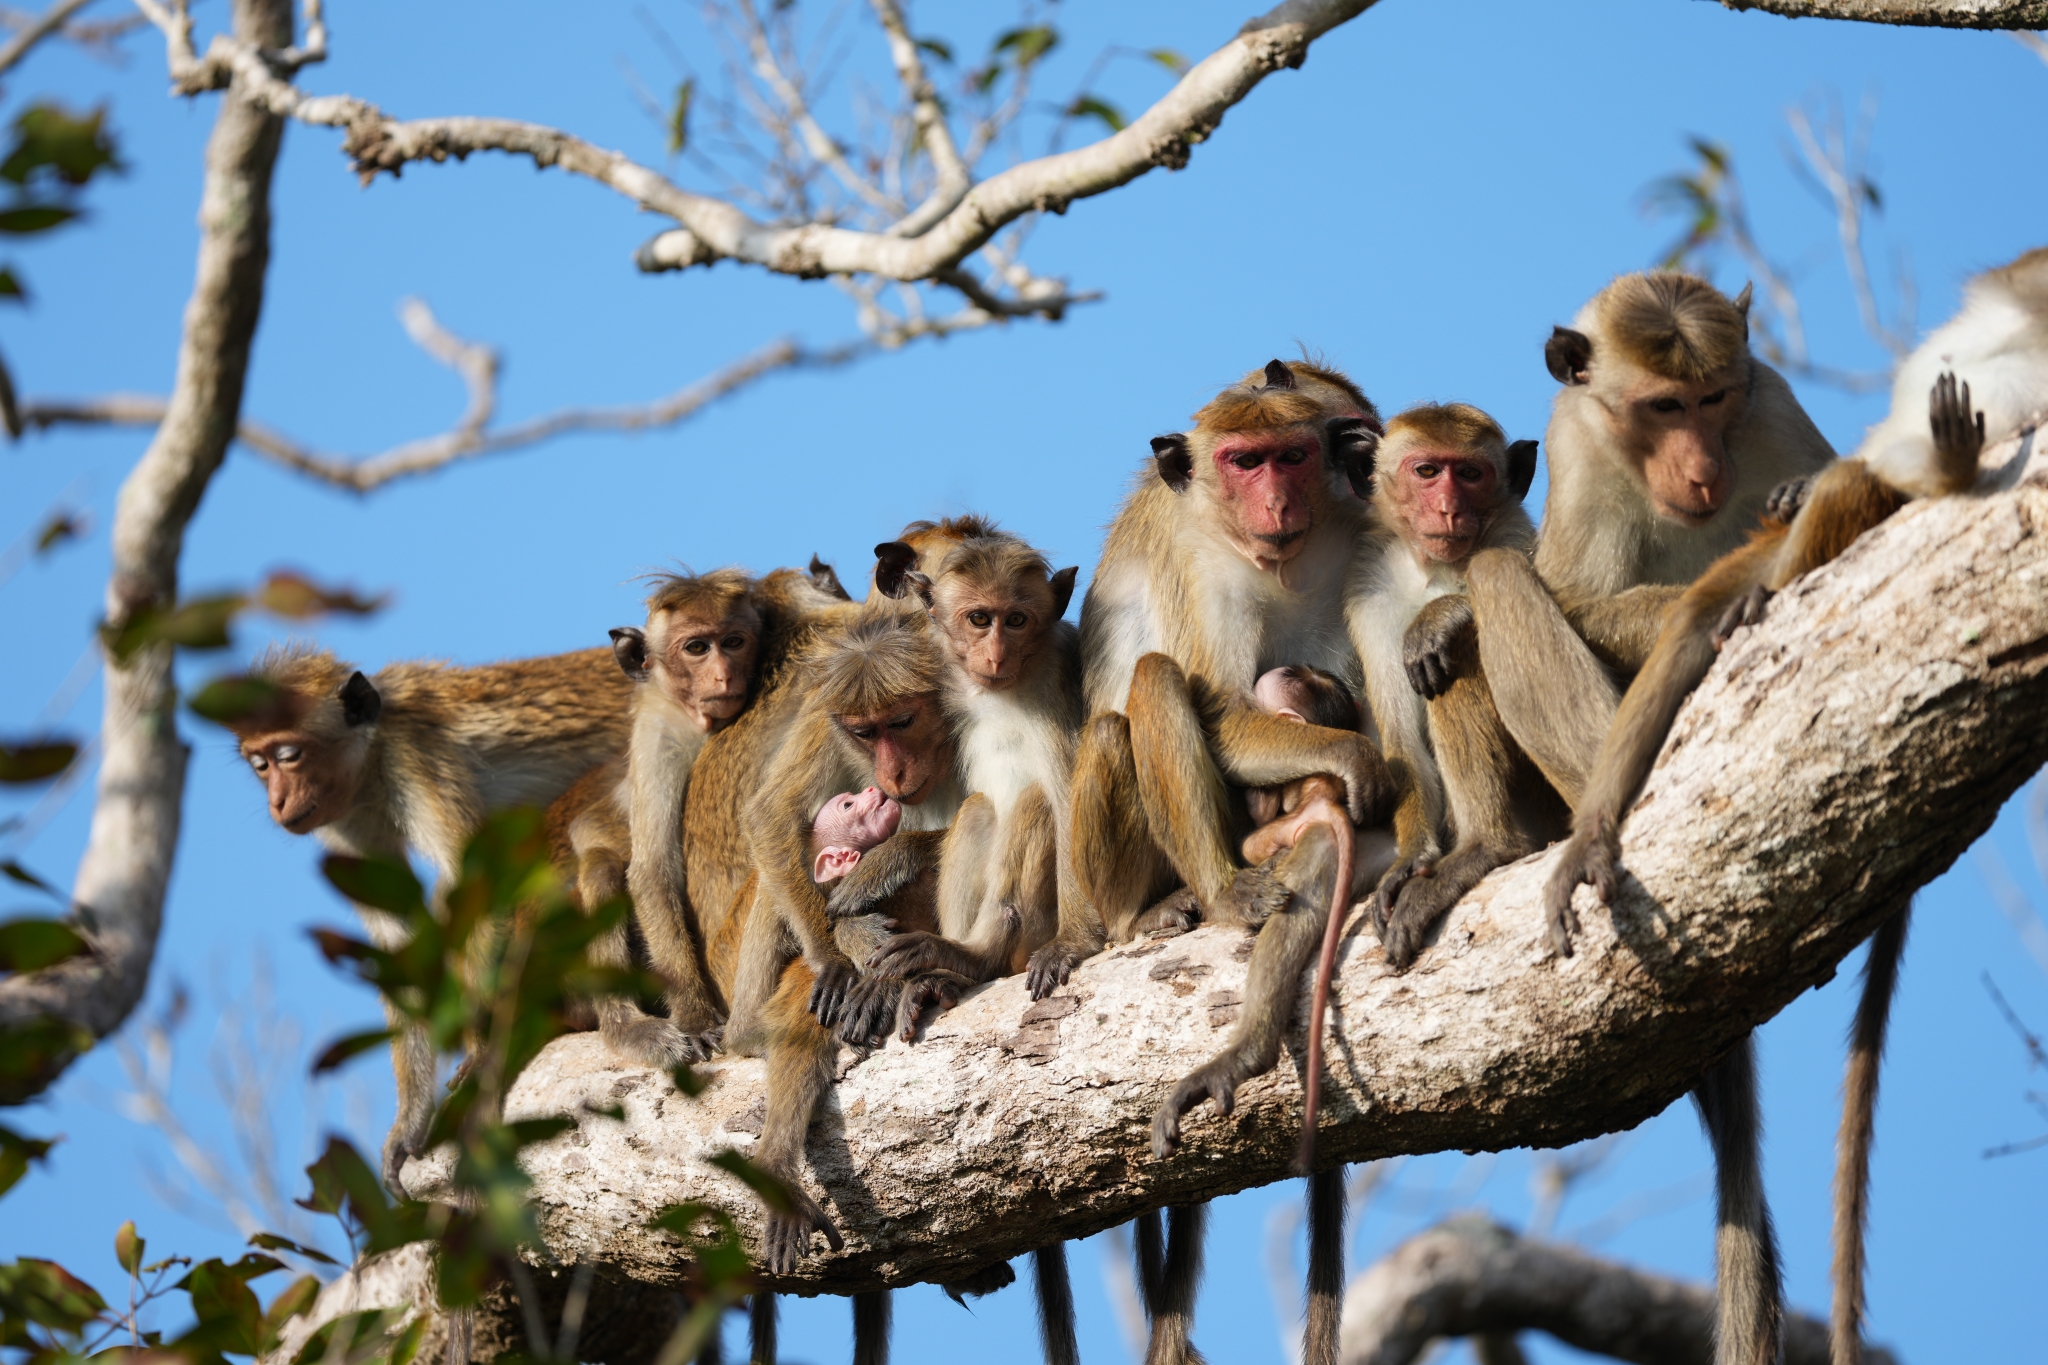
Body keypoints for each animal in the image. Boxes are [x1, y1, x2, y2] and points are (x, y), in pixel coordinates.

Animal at [226, 644, 634, 1191]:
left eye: (289, 756)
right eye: (259, 765)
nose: (278, 801)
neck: (372, 759)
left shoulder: (418, 763)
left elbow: (474, 884)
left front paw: (481, 1053)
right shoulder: (346, 818)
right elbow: (397, 939)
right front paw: (410, 1119)